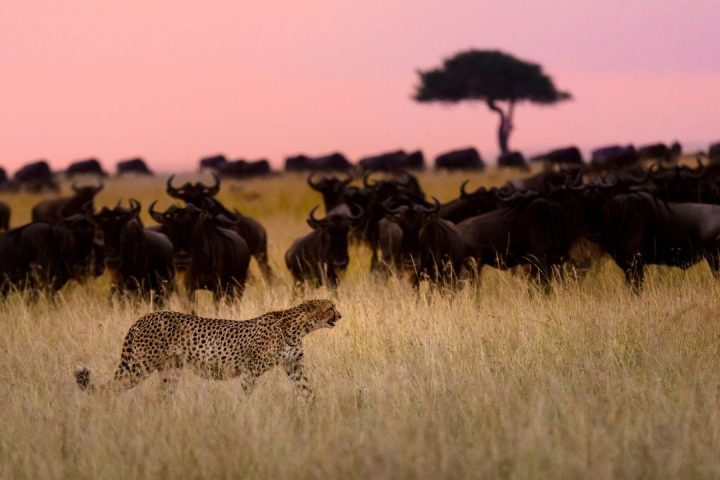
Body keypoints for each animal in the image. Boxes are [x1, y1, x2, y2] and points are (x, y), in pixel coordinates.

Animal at [74, 299, 341, 399]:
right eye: (330, 307)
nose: (340, 315)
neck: (298, 328)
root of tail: (142, 317)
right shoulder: (249, 371)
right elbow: (248, 395)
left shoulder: (293, 366)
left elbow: (307, 389)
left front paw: (313, 411)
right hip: (139, 366)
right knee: (111, 388)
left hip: (171, 370)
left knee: (161, 397)